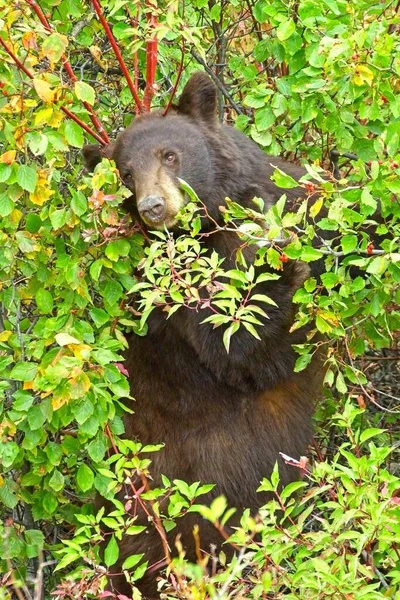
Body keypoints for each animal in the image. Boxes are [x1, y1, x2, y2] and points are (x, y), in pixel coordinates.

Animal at [83, 72, 324, 596]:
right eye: (126, 174)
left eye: (170, 155)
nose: (153, 207)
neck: (212, 226)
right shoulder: (176, 299)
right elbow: (244, 352)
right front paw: (277, 273)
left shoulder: (291, 194)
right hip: (167, 501)